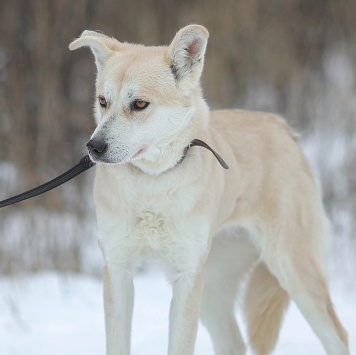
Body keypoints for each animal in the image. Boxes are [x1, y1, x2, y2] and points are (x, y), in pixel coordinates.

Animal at [69, 23, 348, 354]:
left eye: (139, 104)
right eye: (103, 101)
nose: (94, 147)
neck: (154, 184)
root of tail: (281, 126)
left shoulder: (187, 278)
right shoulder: (118, 271)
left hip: (292, 269)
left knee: (338, 336)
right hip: (215, 289)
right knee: (233, 343)